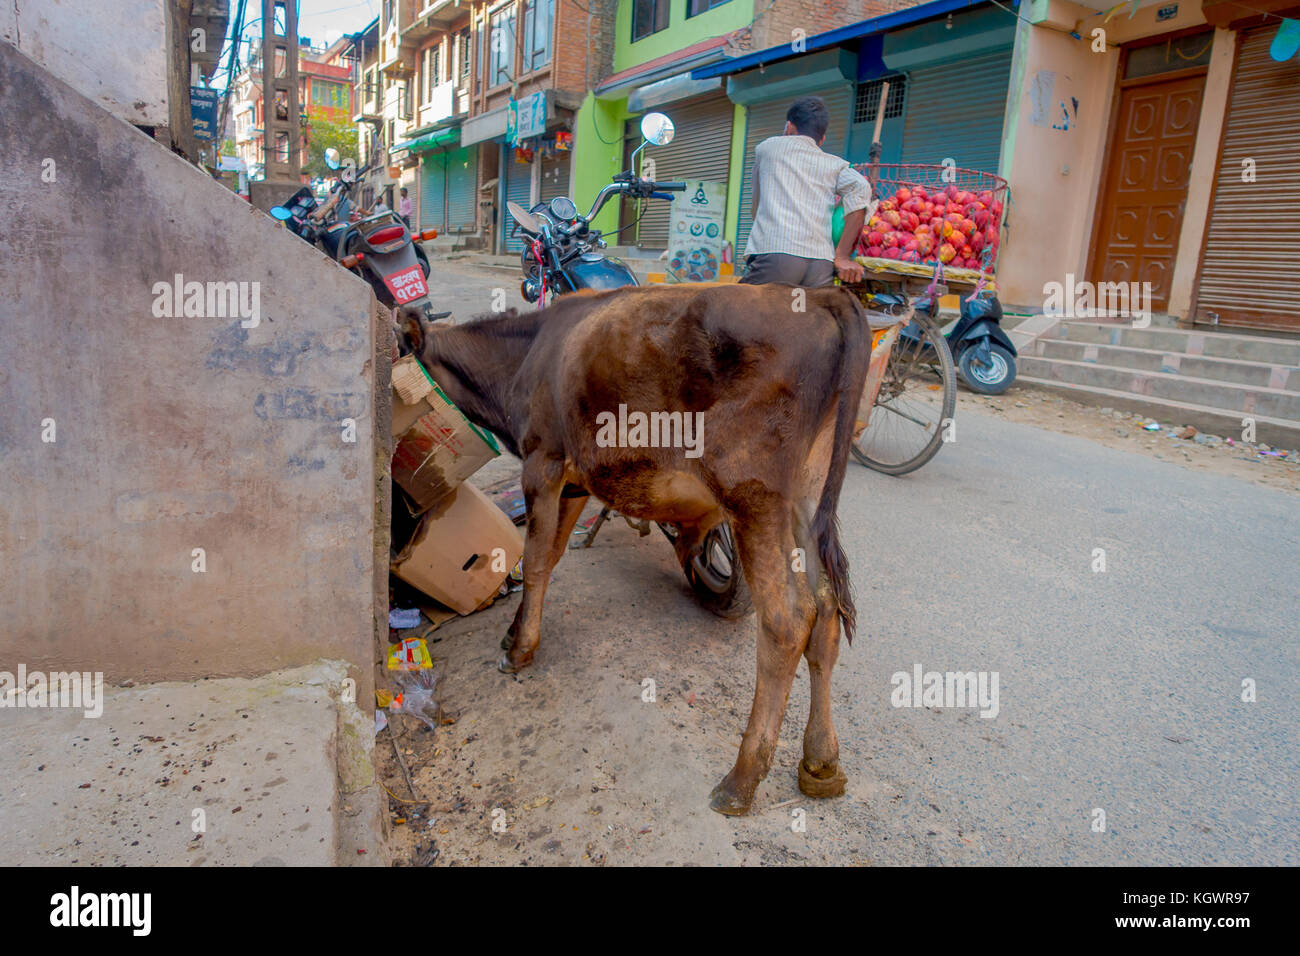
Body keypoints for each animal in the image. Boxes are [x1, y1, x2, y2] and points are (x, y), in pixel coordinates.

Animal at [407, 282, 870, 815]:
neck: (524, 355)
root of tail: (823, 297)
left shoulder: (543, 461)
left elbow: (538, 560)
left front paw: (519, 650)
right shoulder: (576, 481)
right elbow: (553, 553)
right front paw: (513, 633)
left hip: (753, 495)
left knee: (788, 621)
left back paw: (741, 779)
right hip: (803, 499)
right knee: (826, 610)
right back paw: (821, 762)